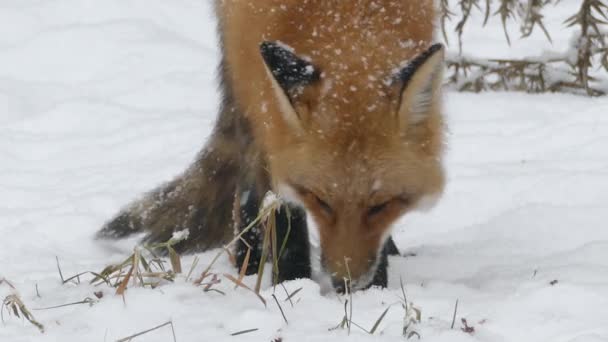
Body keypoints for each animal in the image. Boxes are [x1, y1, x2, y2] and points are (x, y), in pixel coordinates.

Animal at [97, 0, 444, 292]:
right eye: (320, 201)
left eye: (380, 205)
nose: (345, 283)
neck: (344, 17)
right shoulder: (261, 101)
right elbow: (281, 214)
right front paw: (291, 285)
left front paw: (376, 289)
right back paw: (249, 262)